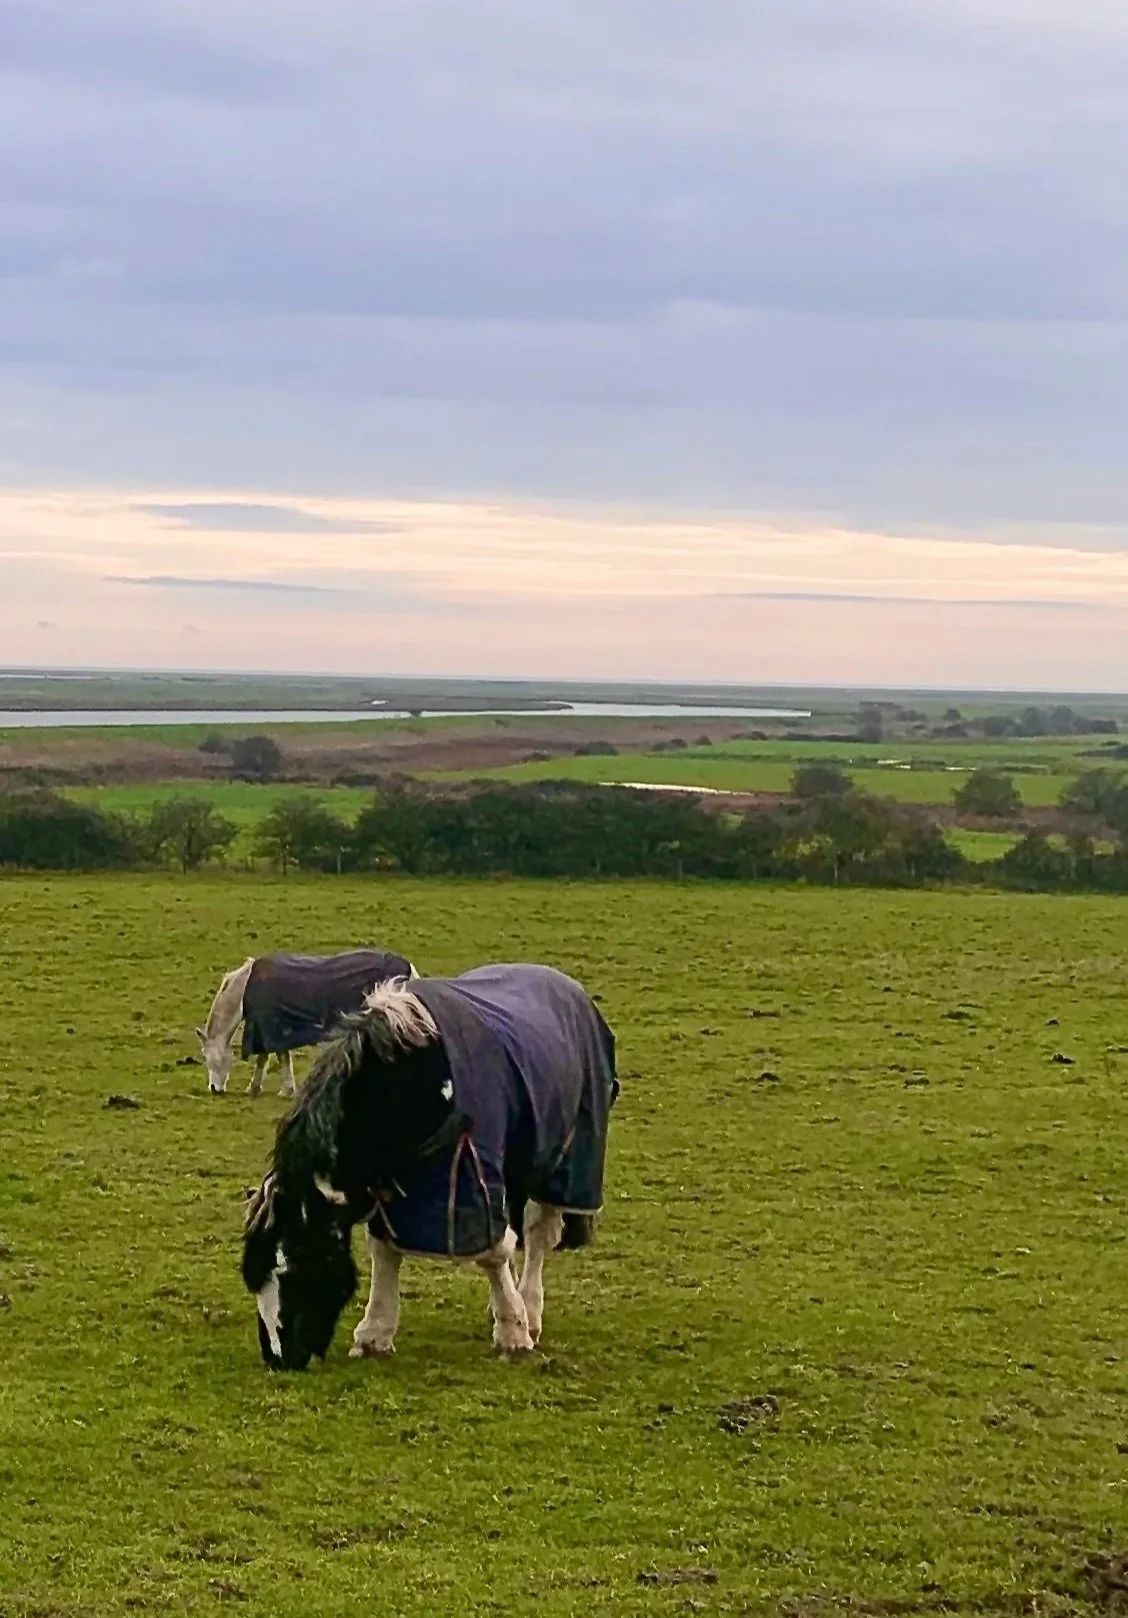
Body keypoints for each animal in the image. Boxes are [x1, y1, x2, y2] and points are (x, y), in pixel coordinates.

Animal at [197, 948, 416, 1096]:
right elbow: (274, 1058)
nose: (214, 1089)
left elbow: (269, 1058)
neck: (245, 990)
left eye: (206, 1057)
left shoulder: (269, 1028)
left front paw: (268, 1088)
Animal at [241, 963, 618, 1369]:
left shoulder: (473, 1175)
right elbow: (385, 1251)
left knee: (536, 1237)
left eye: (292, 1265)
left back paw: (528, 1311)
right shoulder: (390, 1187)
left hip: (564, 1162)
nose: (278, 1359)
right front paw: (374, 1334)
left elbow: (493, 1252)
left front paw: (513, 1333)